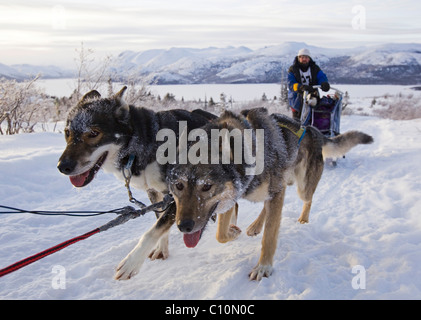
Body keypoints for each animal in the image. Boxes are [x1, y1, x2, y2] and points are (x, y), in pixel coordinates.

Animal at [57, 86, 215, 262]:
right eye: (67, 132)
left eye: (93, 133)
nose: (63, 167)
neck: (149, 143)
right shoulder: (155, 193)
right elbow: (159, 221)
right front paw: (161, 249)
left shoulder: (178, 195)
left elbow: (156, 228)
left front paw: (132, 261)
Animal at [114, 107, 370, 280]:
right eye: (178, 186)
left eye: (206, 186)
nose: (183, 226)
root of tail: (312, 128)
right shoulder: (229, 200)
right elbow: (220, 233)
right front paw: (234, 232)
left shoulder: (273, 191)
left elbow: (270, 237)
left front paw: (264, 267)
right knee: (266, 207)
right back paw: (255, 226)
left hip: (301, 187)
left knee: (305, 200)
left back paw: (302, 219)